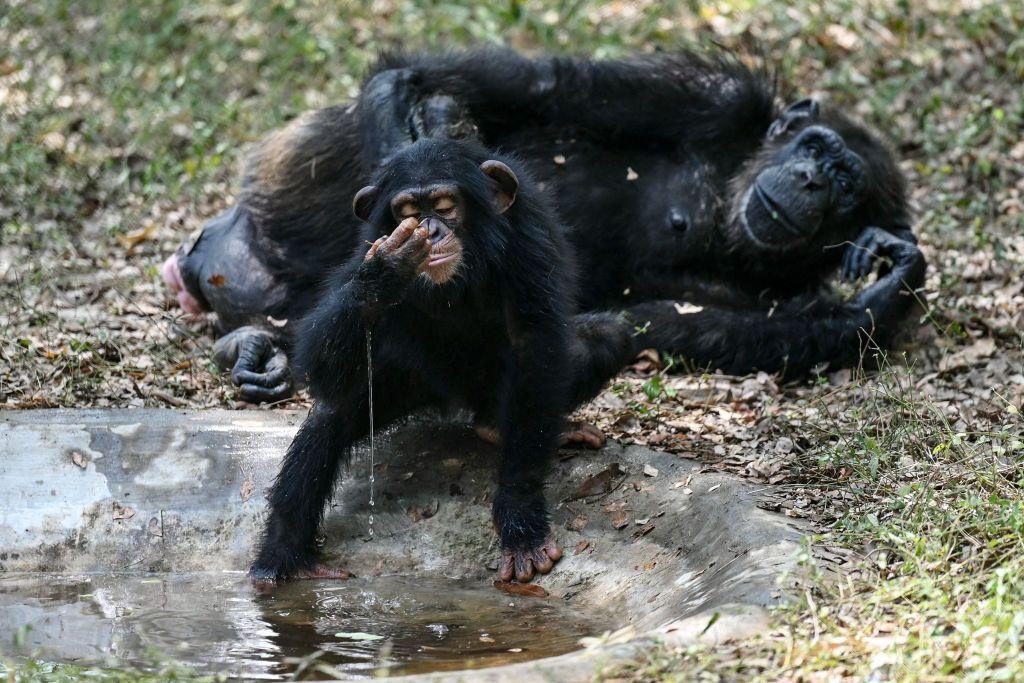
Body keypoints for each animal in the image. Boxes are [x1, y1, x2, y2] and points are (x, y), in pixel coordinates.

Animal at [163, 50, 925, 403]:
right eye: (816, 150)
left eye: (848, 191)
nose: (815, 182)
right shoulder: (713, 97)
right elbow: (528, 86)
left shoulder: (762, 294)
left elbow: (697, 324)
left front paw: (889, 285)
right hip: (288, 173)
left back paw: (260, 346)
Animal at [254, 137, 622, 581]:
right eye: (408, 212)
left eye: (444, 205)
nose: (429, 229)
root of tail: (456, 402)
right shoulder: (365, 248)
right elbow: (315, 359)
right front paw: (387, 269)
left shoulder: (529, 240)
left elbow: (535, 349)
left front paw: (521, 523)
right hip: (407, 382)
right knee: (332, 411)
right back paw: (282, 557)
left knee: (603, 338)